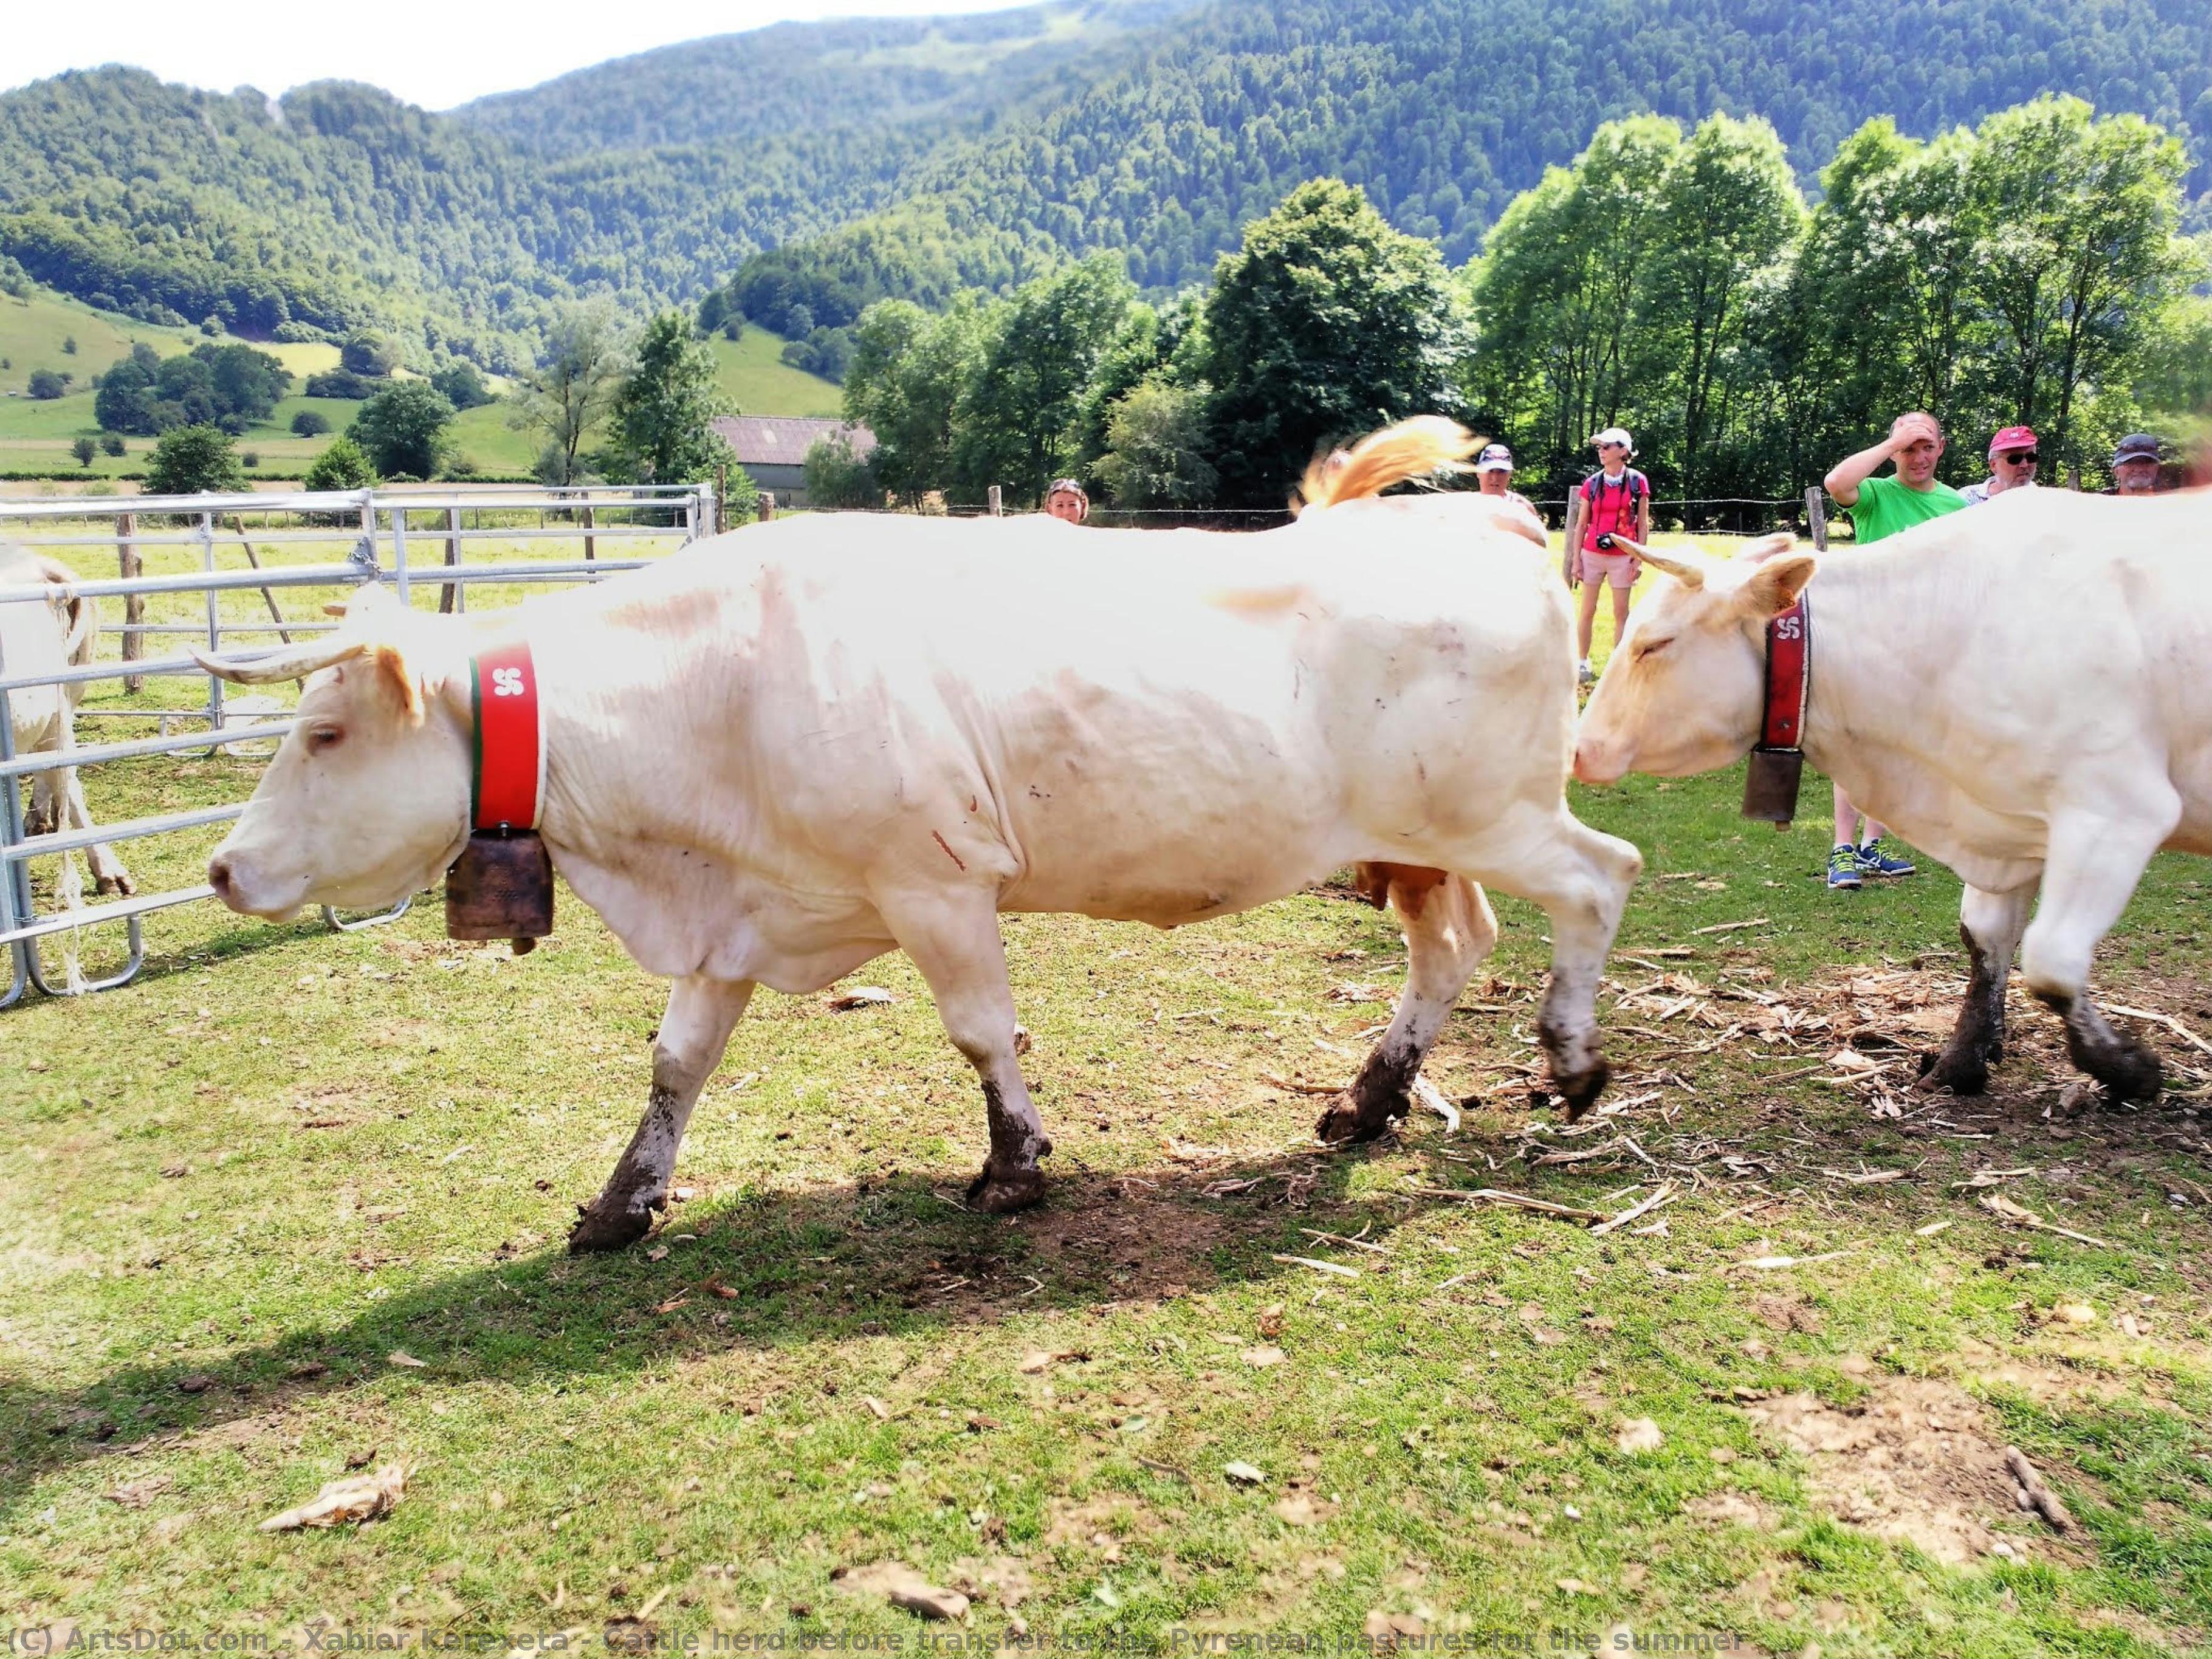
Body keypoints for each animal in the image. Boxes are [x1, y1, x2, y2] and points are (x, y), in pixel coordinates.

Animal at [193, 419, 1642, 1252]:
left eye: (326, 734)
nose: (219, 864)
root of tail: (1480, 515)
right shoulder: (739, 916)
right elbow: (674, 1065)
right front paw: (622, 1202)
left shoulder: (934, 883)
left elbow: (982, 1033)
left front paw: (1013, 1168)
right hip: (1420, 840)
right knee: (1453, 947)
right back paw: (1370, 1097)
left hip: (1493, 812)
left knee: (1599, 879)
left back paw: (1569, 1062)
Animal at [1572, 488, 2212, 1107]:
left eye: (1654, 645)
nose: (1579, 748)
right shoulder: (2004, 819)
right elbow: (1985, 941)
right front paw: (1962, 1060)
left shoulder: (2115, 810)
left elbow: (2052, 962)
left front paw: (2127, 1067)